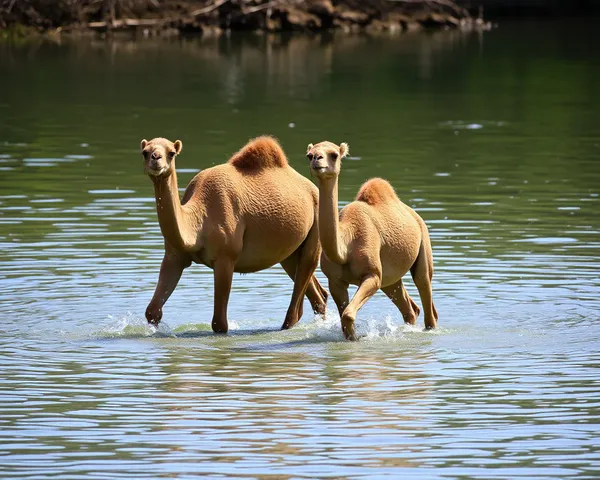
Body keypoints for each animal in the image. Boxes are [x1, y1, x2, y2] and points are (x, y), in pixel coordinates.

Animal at [139, 135, 328, 334]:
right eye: (144, 152)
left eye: (171, 153)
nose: (156, 158)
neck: (197, 222)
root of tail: (313, 189)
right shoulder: (174, 256)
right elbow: (152, 311)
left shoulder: (225, 258)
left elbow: (219, 323)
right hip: (289, 254)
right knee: (317, 294)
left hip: (315, 233)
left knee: (298, 301)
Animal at [308, 141, 438, 340]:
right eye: (309, 155)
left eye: (334, 155)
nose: (317, 159)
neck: (346, 246)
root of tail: (415, 215)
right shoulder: (335, 281)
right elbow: (344, 316)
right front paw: (352, 338)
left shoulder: (373, 274)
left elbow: (348, 314)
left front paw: (357, 339)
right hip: (391, 278)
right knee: (409, 307)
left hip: (423, 246)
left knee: (424, 288)